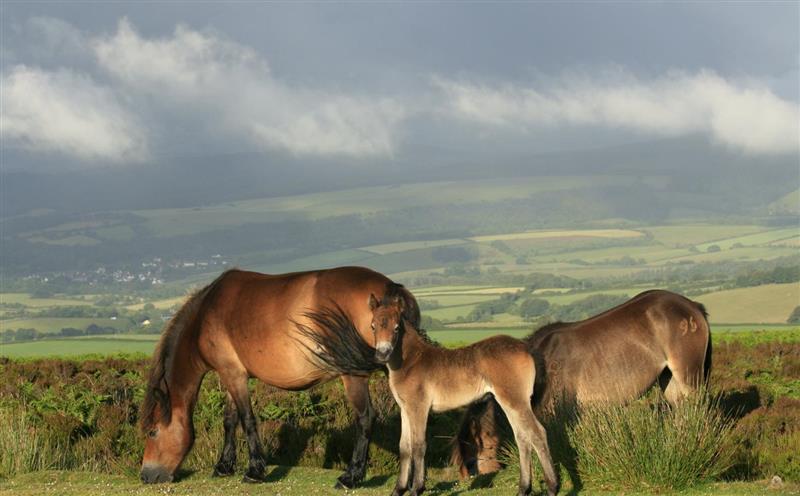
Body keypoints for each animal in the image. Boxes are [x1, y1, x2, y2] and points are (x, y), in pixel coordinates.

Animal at [141, 268, 422, 488]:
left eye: (153, 432)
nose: (146, 475)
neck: (206, 314)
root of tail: (389, 288)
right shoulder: (232, 374)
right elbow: (230, 420)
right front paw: (224, 466)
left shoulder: (233, 375)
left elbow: (247, 420)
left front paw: (254, 471)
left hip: (353, 376)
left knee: (366, 418)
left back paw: (350, 477)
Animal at [304, 290, 560, 496]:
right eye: (373, 326)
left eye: (396, 327)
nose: (382, 354)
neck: (410, 361)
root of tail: (525, 347)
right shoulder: (405, 409)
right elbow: (404, 447)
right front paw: (398, 489)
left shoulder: (418, 407)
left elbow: (418, 445)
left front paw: (417, 489)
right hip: (510, 401)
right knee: (522, 437)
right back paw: (524, 489)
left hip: (515, 400)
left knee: (537, 433)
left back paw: (552, 487)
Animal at [454, 290, 708, 476]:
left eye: (477, 445)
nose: (477, 475)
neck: (539, 367)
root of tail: (692, 306)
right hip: (669, 379)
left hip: (687, 375)